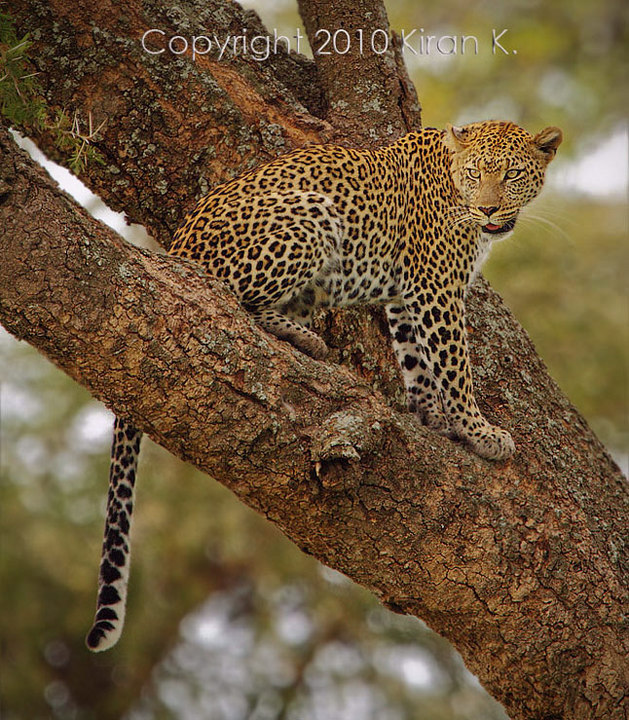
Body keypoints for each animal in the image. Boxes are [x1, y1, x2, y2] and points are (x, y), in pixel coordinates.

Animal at [85, 120, 562, 652]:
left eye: (512, 175)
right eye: (476, 173)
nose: (490, 209)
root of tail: (173, 252)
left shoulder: (406, 295)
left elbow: (416, 359)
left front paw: (430, 416)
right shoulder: (435, 286)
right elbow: (453, 363)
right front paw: (480, 432)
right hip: (310, 218)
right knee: (231, 297)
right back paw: (304, 337)